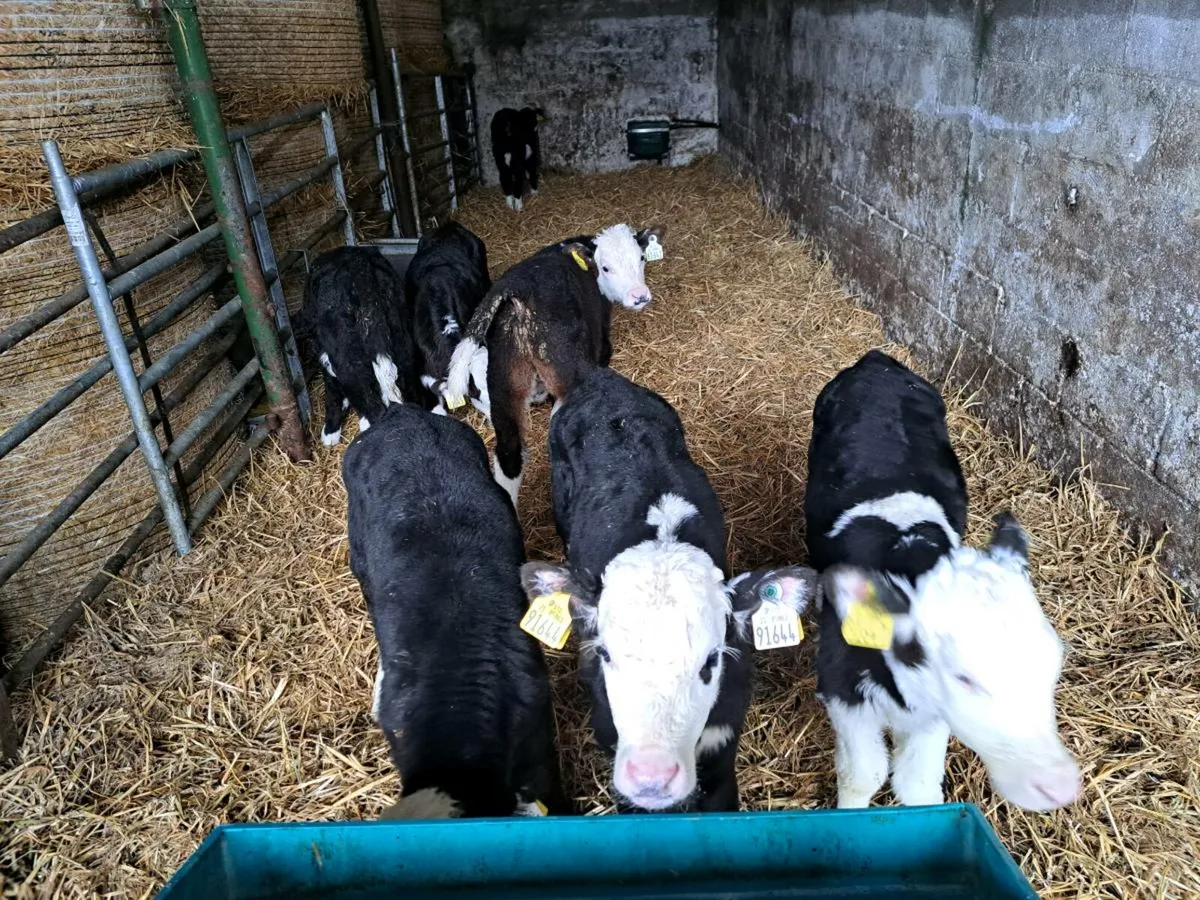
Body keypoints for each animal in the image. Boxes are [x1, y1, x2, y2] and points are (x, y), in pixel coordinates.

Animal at [304, 246, 429, 446]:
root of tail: (361, 270)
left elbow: (331, 389)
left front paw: (330, 432)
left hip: (349, 361)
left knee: (374, 409)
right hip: (403, 342)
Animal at [443, 224, 664, 505]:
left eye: (641, 258)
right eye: (605, 268)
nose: (639, 296)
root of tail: (515, 288)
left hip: (503, 381)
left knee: (509, 453)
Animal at [804, 349, 1081, 811]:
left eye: (1053, 665)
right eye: (964, 678)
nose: (1057, 785)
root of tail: (877, 361)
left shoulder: (932, 713)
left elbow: (916, 784)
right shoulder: (842, 689)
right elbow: (863, 775)